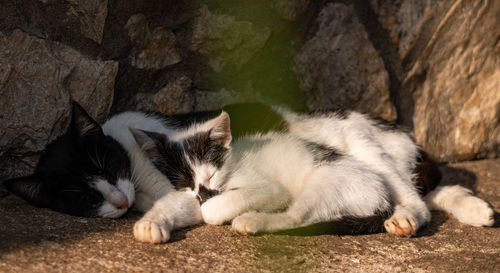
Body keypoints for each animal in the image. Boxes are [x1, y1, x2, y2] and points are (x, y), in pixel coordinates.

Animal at [131, 107, 494, 241]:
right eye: (183, 181)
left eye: (208, 177)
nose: (204, 192)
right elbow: (180, 205)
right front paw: (152, 224)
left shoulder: (264, 187)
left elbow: (214, 208)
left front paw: (214, 210)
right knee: (429, 192)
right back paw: (476, 209)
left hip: (360, 150)